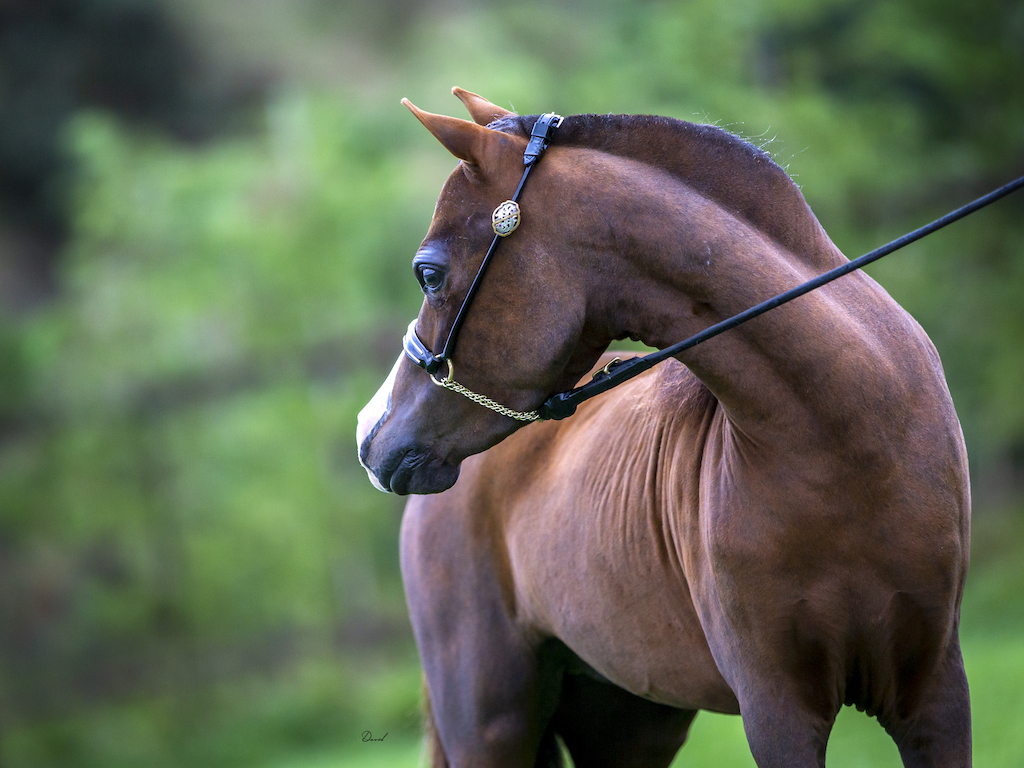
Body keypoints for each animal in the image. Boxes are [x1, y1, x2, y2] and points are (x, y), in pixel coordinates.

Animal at [356, 88, 972, 767]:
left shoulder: (934, 696)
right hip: (491, 727)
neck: (847, 443)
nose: (369, 432)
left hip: (628, 720)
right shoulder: (779, 708)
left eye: (429, 273)